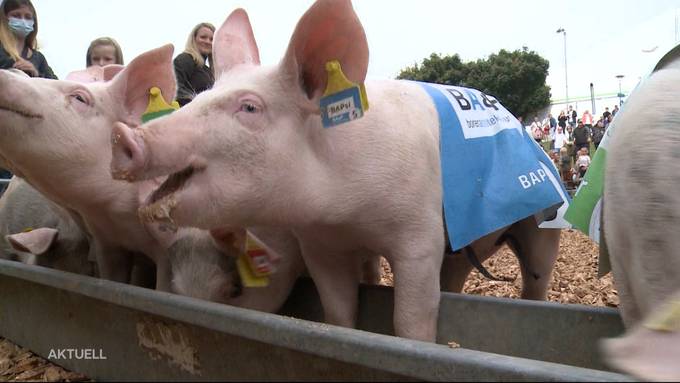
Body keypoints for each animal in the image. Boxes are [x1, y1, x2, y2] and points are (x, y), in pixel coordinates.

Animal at [0, 45, 178, 290]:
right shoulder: (107, 243)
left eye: (79, 97)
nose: (12, 71)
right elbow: (112, 279)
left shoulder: (167, 251)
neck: (120, 217)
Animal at [111, 0, 444, 342]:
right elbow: (337, 311)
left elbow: (411, 321)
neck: (344, 214)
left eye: (249, 107)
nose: (122, 134)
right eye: (198, 99)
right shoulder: (320, 247)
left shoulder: (422, 235)